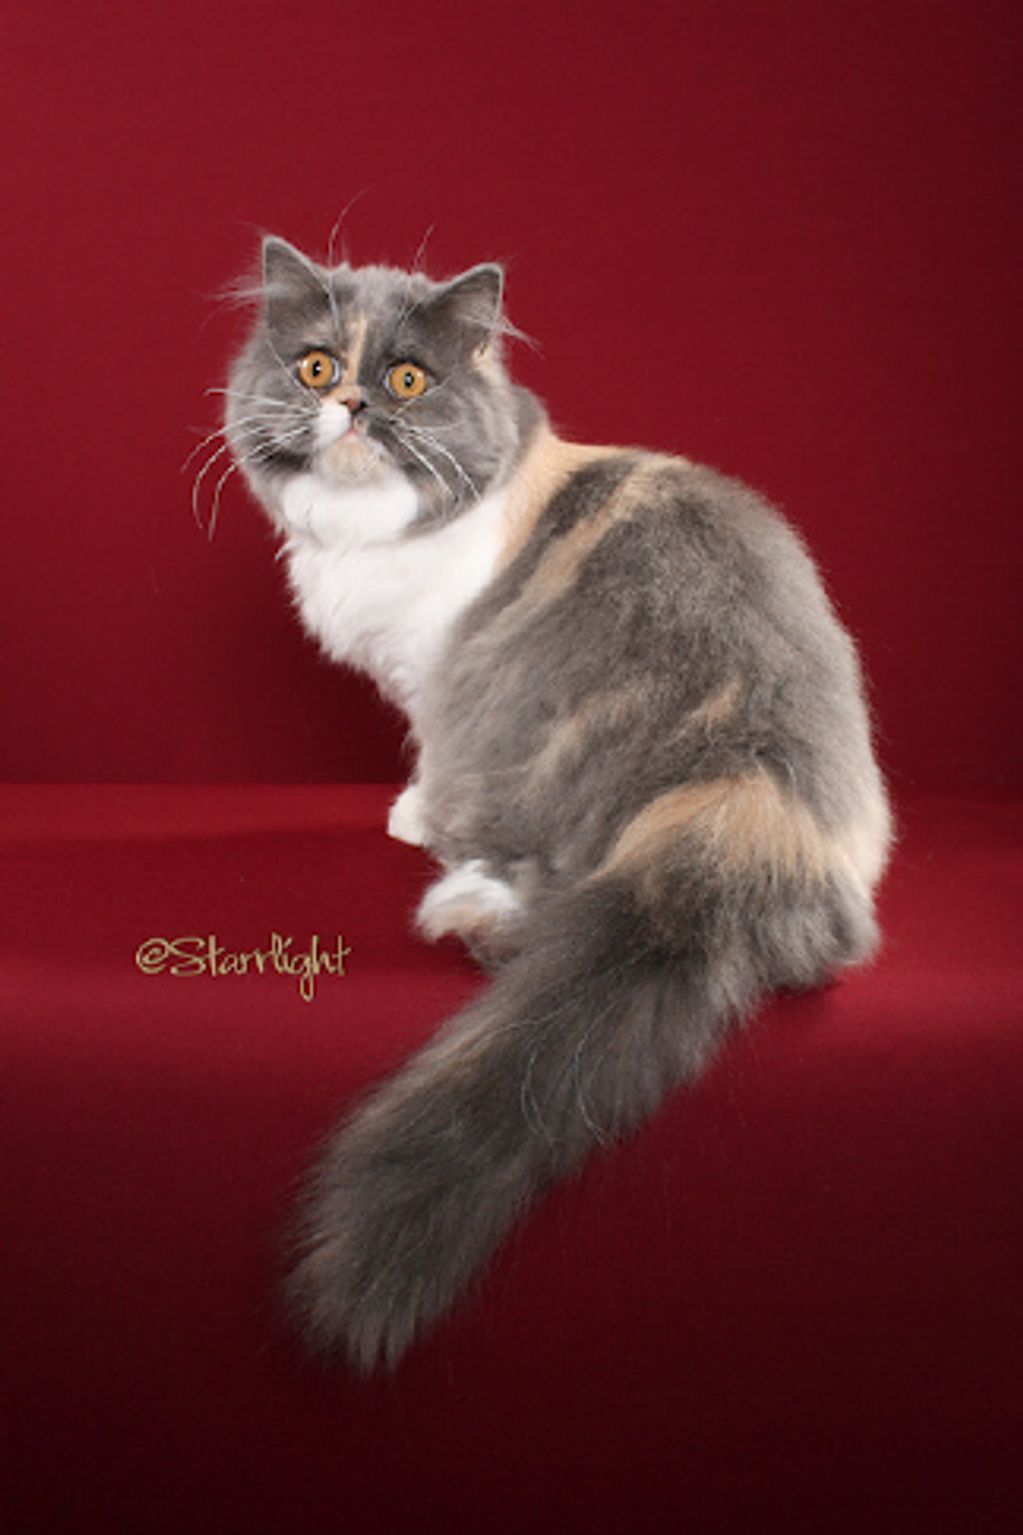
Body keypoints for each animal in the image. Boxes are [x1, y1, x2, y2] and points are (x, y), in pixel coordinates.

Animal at [221, 236, 884, 1369]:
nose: (352, 403)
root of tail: (747, 806)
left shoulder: (439, 680)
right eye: (314, 368)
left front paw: (409, 812)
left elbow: (428, 755)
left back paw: (462, 905)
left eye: (407, 379)